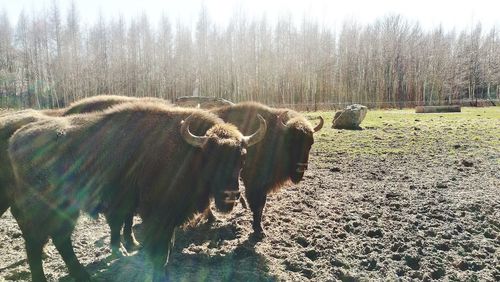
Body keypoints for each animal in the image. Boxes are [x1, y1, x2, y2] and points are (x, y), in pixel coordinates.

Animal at [7, 102, 266, 282]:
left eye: (242, 158)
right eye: (211, 158)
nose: (230, 195)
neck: (189, 153)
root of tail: (16, 139)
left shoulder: (169, 218)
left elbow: (168, 248)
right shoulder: (157, 216)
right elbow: (159, 251)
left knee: (58, 240)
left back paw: (83, 275)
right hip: (46, 210)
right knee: (37, 243)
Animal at [204, 102, 324, 237]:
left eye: (311, 143)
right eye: (291, 141)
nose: (301, 167)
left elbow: (261, 205)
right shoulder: (254, 184)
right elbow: (257, 205)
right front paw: (259, 230)